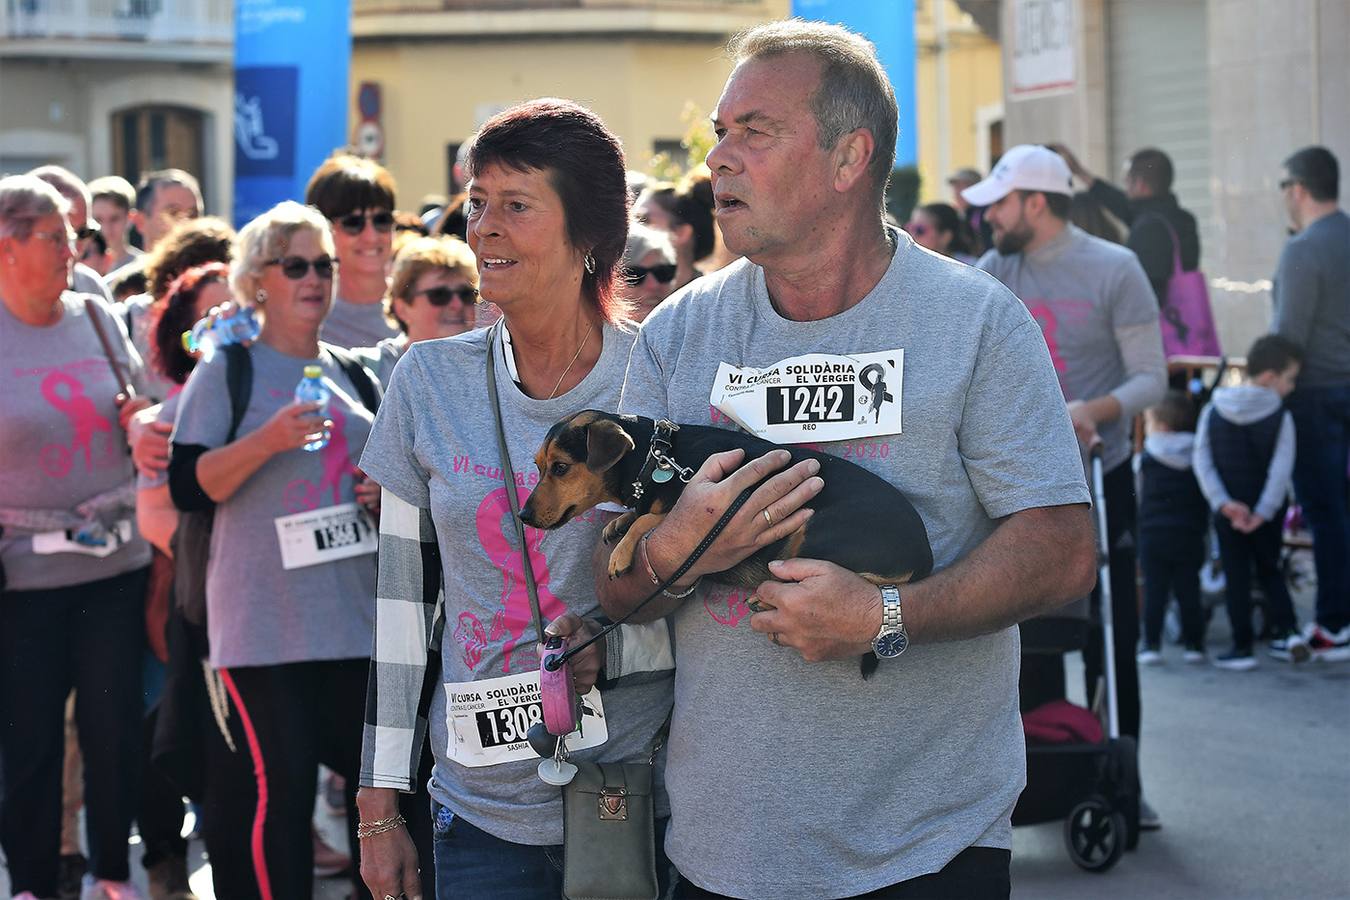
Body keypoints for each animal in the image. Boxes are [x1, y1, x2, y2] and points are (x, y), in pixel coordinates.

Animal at [513, 412, 928, 636]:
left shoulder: (687, 500)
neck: (653, 457)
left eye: (561, 467)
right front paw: (617, 525)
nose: (523, 516)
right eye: (538, 466)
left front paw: (622, 549)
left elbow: (648, 516)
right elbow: (638, 513)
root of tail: (923, 552)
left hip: (816, 532)